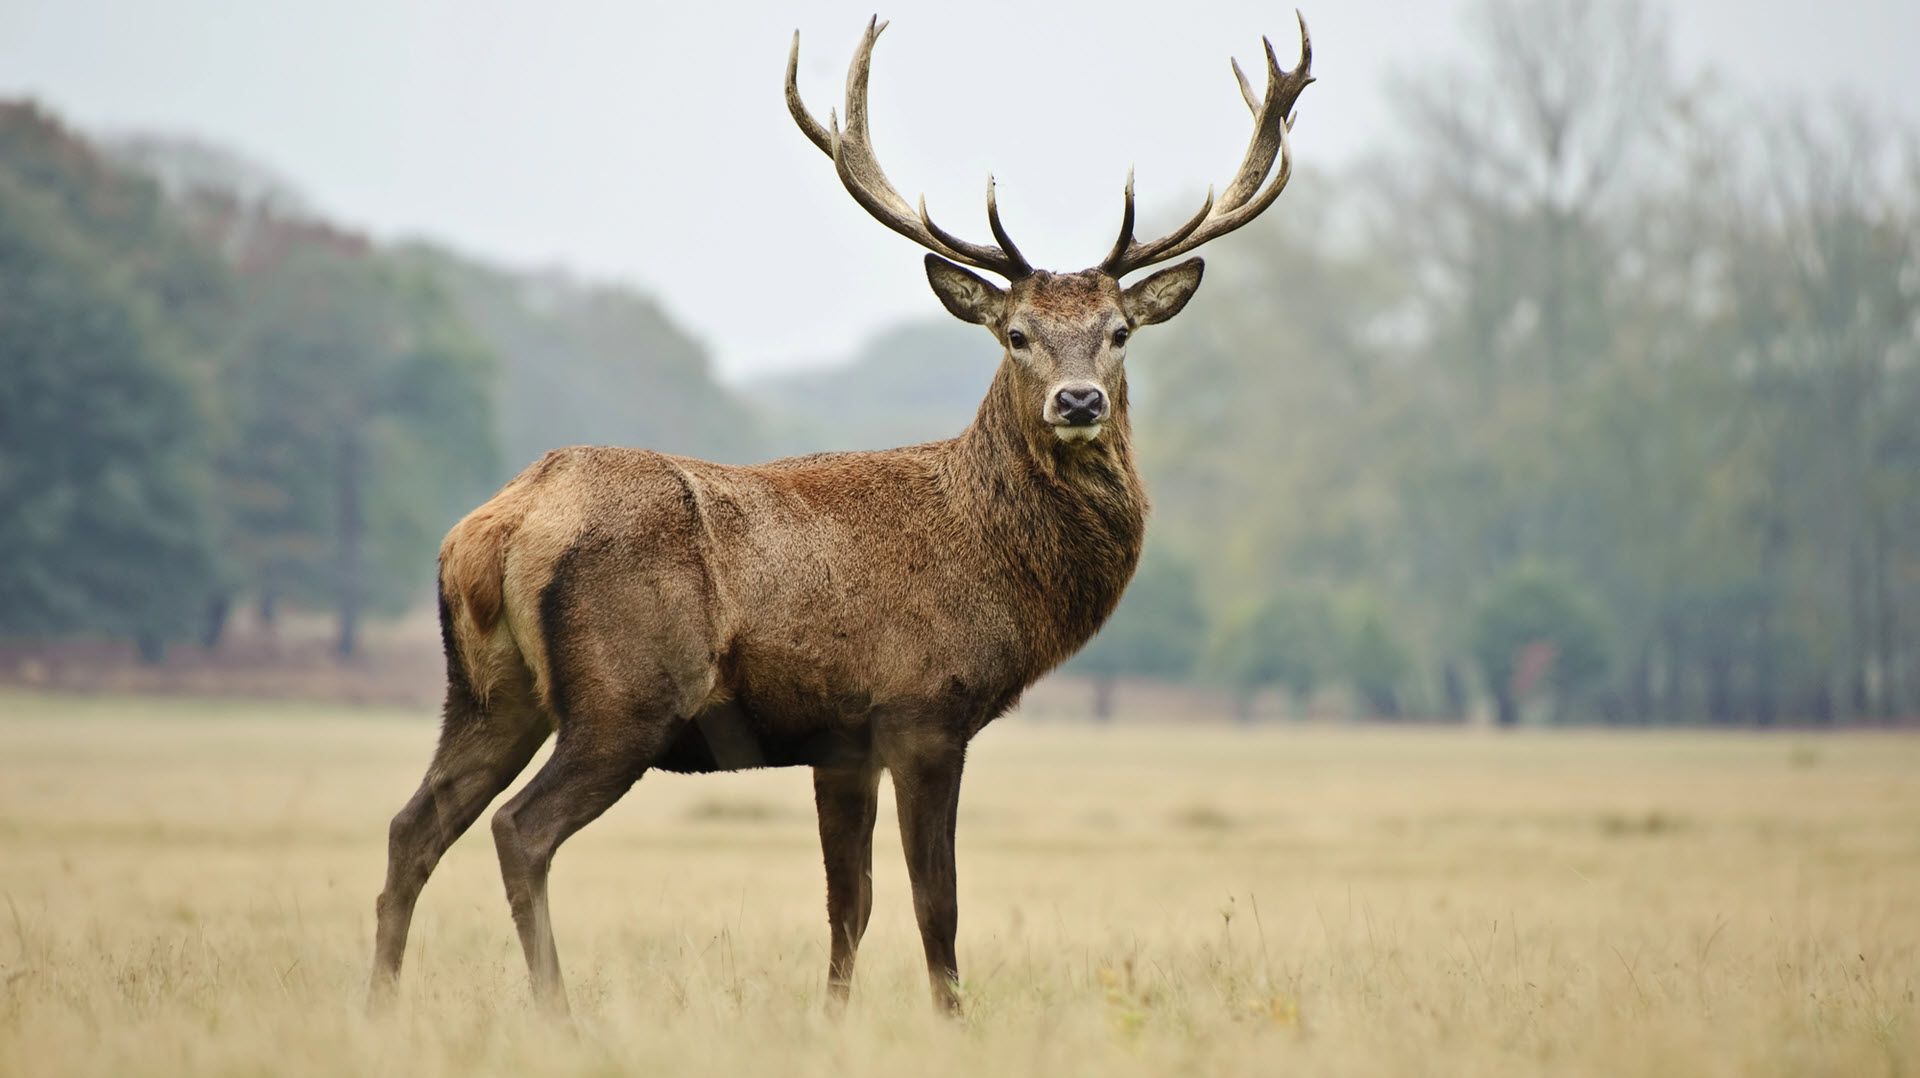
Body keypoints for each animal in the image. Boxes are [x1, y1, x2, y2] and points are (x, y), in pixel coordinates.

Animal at [367, 13, 1313, 1017]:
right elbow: (935, 902)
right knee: (520, 830)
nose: (1080, 401)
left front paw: (832, 1019)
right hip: (624, 695)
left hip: (487, 692)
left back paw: (379, 1006)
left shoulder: (840, 741)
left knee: (412, 826)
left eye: (1120, 332)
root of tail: (497, 527)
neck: (995, 567)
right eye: (1016, 334)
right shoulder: (923, 707)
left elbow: (847, 904)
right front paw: (951, 1020)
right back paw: (557, 1013)